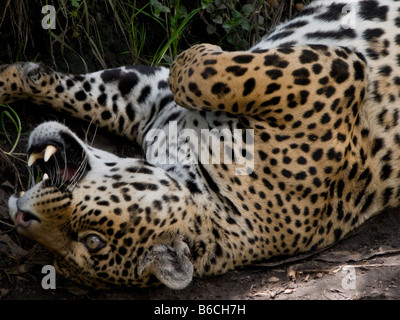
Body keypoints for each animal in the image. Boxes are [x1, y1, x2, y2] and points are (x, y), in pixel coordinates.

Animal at [3, 0, 400, 290]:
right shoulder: (149, 102)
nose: (20, 216)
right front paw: (11, 79)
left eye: (91, 240)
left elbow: (193, 71)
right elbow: (90, 93)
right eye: (60, 255)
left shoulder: (332, 76)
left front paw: (207, 46)